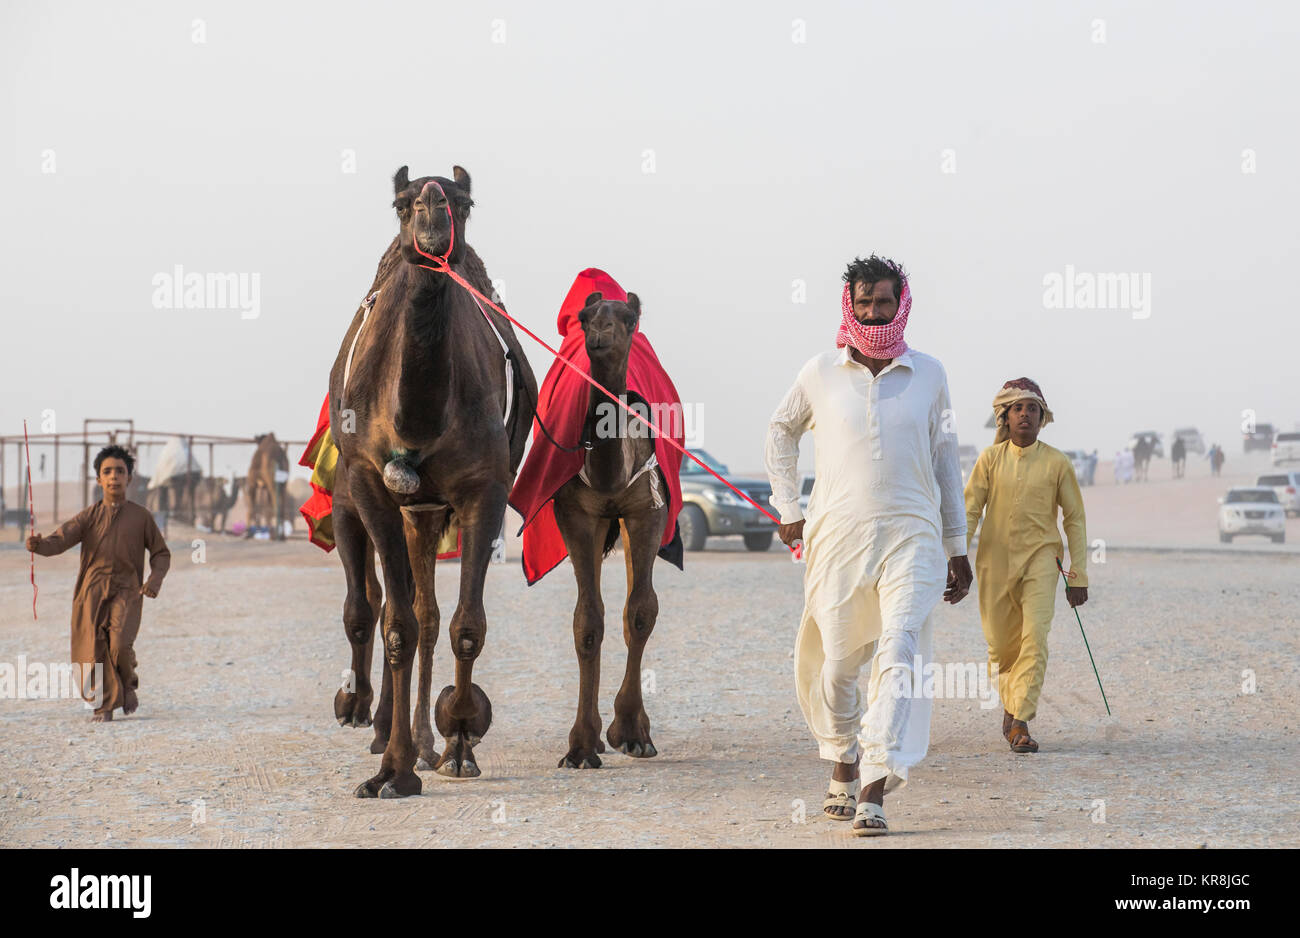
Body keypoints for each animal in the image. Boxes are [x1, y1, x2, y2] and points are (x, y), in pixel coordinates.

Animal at [327, 164, 535, 795]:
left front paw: (460, 742)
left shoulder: (484, 490)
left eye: (464, 202)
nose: (433, 213)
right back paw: (382, 726)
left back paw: (427, 742)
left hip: (428, 510)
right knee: (385, 608)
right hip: (377, 503)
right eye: (401, 202)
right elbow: (396, 625)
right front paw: (390, 772)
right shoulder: (369, 486)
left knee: (429, 612)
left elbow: (465, 625)